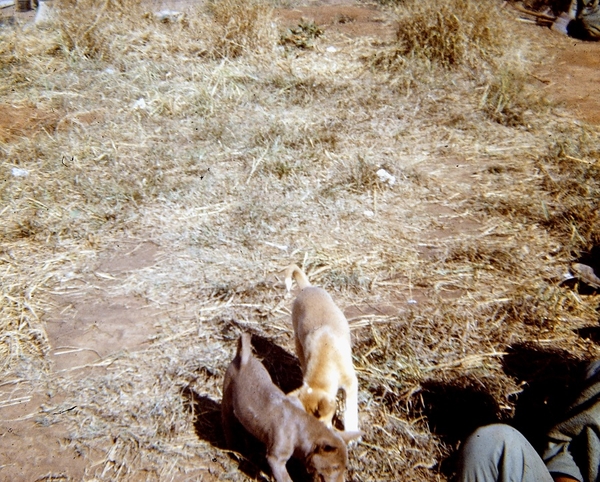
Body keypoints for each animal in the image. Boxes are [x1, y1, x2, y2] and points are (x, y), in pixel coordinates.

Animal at [221, 334, 358, 482]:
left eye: (344, 467)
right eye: (334, 467)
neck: (302, 429)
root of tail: (244, 358)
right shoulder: (276, 459)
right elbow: (285, 479)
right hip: (227, 395)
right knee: (226, 420)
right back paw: (232, 446)